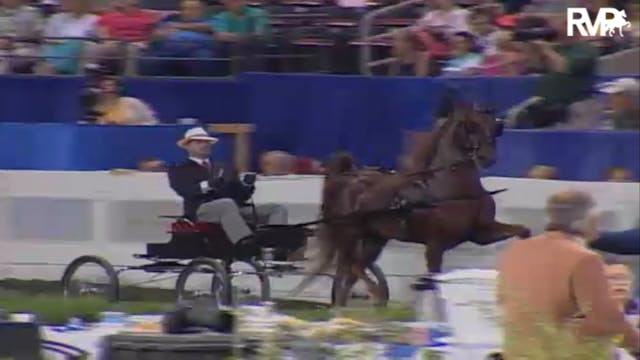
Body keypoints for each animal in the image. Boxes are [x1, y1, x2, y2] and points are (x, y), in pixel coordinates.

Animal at [292, 99, 528, 306]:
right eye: (471, 126)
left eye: (495, 127)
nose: (488, 158)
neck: (453, 188)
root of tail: (347, 176)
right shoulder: (435, 244)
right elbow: (433, 277)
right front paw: (421, 288)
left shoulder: (480, 233)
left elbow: (522, 231)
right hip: (350, 234)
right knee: (352, 266)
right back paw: (376, 294)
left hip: (374, 239)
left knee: (351, 273)